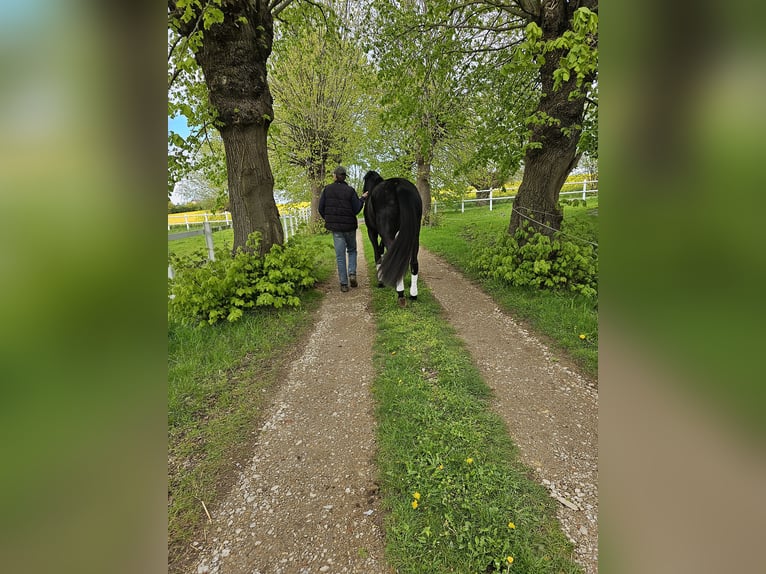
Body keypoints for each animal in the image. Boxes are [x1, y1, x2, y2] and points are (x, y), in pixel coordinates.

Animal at [364, 170, 424, 308]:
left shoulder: (372, 231)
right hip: (415, 234)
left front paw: (381, 280)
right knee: (413, 262)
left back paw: (400, 294)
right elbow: (382, 250)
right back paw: (413, 294)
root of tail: (398, 185)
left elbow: (377, 254)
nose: (363, 194)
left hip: (386, 232)